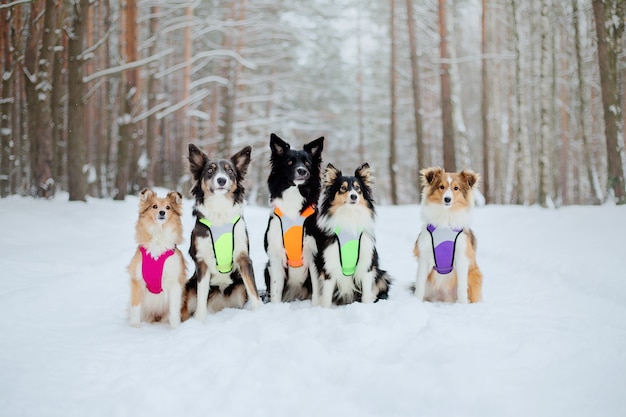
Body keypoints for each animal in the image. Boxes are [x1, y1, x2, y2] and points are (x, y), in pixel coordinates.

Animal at [127, 188, 185, 328]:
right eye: (155, 206)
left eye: (168, 207)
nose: (162, 212)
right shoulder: (137, 280)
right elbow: (135, 308)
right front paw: (134, 327)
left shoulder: (174, 282)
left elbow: (174, 311)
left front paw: (175, 329)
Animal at [179, 144, 260, 322]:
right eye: (210, 170)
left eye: (230, 171)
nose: (221, 180)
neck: (219, 207)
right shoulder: (202, 262)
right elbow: (201, 296)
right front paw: (200, 320)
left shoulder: (243, 258)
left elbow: (253, 290)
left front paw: (261, 311)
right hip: (188, 286)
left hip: (238, 288)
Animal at [262, 133, 322, 302]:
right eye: (289, 162)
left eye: (307, 162)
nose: (302, 171)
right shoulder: (275, 256)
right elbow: (275, 291)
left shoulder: (314, 254)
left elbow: (317, 291)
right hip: (266, 268)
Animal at [316, 162, 390, 306]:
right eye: (343, 188)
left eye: (357, 188)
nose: (354, 196)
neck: (349, 214)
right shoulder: (329, 265)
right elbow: (327, 297)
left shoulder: (366, 264)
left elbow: (366, 294)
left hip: (382, 276)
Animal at [414, 166, 482, 302]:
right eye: (441, 186)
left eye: (456, 188)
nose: (447, 199)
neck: (446, 217)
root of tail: (445, 299)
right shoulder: (424, 255)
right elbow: (419, 285)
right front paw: (415, 303)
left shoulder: (461, 257)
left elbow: (462, 287)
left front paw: (462, 304)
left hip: (475, 276)